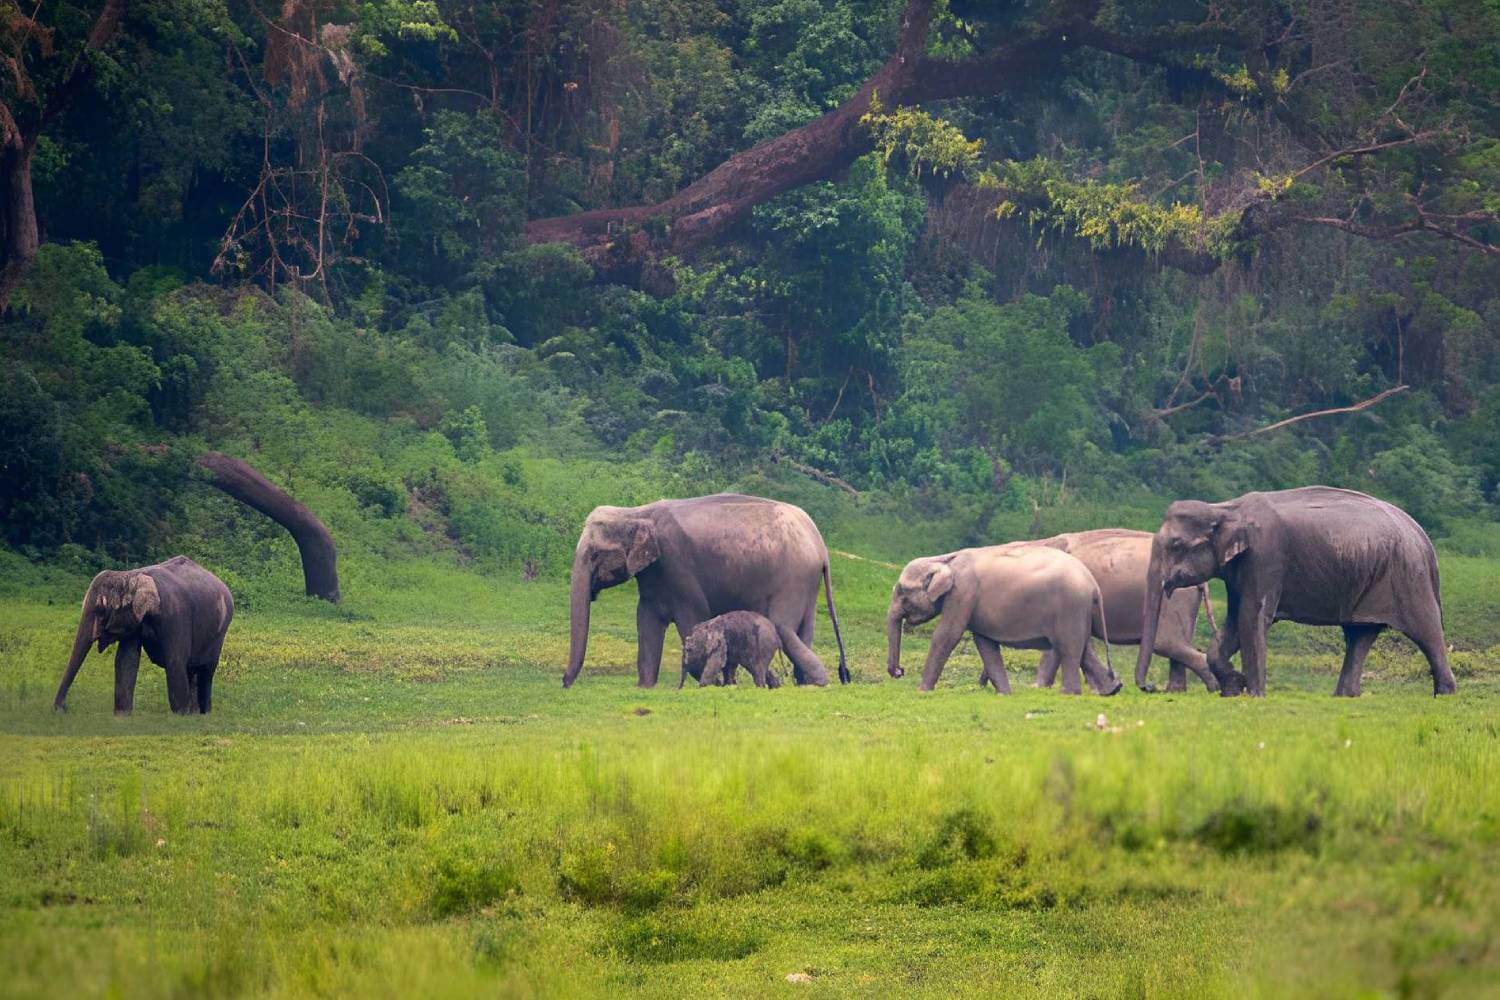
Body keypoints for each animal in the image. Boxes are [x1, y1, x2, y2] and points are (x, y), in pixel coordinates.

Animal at [54, 556, 234, 715]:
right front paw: (122, 716)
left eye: (100, 609)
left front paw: (180, 715)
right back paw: (195, 713)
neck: (133, 574)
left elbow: (175, 660)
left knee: (207, 670)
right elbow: (126, 660)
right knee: (191, 669)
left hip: (219, 633)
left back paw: (203, 713)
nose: (64, 708)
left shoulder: (176, 615)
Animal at [563, 493, 848, 688]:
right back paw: (803, 684)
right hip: (808, 585)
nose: (564, 683)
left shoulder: (678, 566)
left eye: (595, 554)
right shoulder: (654, 576)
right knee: (803, 632)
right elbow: (646, 622)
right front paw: (645, 687)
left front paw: (713, 682)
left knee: (783, 627)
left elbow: (692, 619)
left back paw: (818, 683)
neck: (638, 511)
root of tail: (820, 545)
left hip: (793, 578)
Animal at [886, 545, 1121, 695]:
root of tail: (1093, 584)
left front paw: (922, 691)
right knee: (1082, 648)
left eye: (901, 591)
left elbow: (947, 635)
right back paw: (1112, 689)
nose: (899, 671)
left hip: (1070, 607)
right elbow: (985, 643)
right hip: (1078, 611)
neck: (943, 559)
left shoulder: (963, 592)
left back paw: (1070, 693)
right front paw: (1005, 694)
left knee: (1069, 647)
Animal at [1016, 530, 1219, 693]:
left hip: (1175, 599)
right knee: (1177, 644)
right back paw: (1175, 691)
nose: (1149, 687)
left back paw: (1213, 689)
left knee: (1165, 643)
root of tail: (1204, 582)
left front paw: (1036, 688)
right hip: (1184, 600)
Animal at [1138, 486, 1456, 698]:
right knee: (1360, 634)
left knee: (1425, 630)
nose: (1149, 687)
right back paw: (1344, 696)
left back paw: (1445, 694)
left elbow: (1251, 617)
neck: (1225, 508)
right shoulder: (1240, 568)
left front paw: (1255, 695)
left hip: (1409, 576)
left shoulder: (1266, 556)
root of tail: (1422, 535)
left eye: (1176, 545)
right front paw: (1233, 689)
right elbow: (1234, 622)